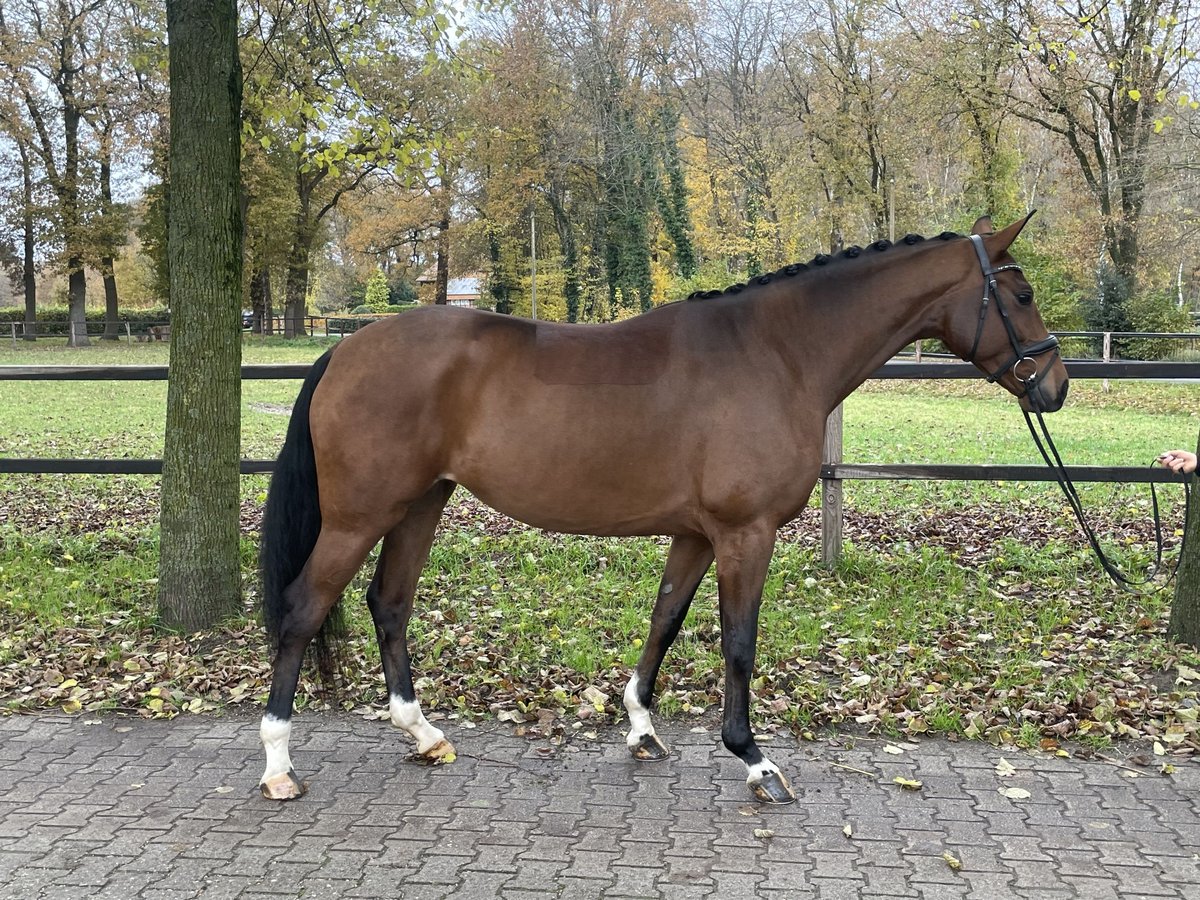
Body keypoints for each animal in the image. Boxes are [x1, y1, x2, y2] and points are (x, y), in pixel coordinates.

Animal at [258, 217, 1065, 801]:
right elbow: (738, 640)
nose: (1054, 385)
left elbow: (665, 621)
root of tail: (346, 350)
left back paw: (422, 735)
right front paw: (753, 760)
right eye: (1022, 296)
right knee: (302, 609)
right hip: (361, 515)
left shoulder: (696, 535)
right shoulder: (745, 534)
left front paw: (642, 726)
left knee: (389, 603)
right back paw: (277, 764)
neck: (776, 354)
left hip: (421, 503)